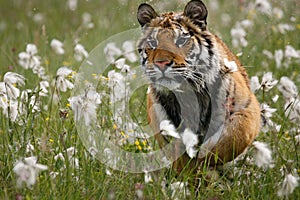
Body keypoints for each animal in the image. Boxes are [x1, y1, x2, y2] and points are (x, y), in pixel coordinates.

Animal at [136, 0, 260, 175]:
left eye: (181, 41)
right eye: (153, 43)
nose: (161, 63)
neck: (188, 92)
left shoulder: (247, 109)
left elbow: (233, 138)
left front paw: (203, 157)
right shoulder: (163, 120)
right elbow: (179, 155)